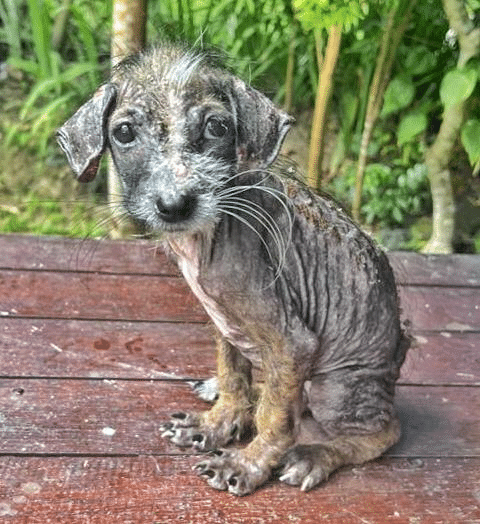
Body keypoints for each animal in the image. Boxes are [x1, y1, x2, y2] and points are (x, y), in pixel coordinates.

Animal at [57, 44, 408, 496]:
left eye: (217, 126)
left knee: (381, 431)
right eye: (124, 132)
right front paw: (218, 423)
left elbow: (275, 419)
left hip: (334, 388)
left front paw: (248, 462)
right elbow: (234, 378)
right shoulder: (224, 324)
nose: (174, 205)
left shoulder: (293, 343)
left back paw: (315, 456)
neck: (205, 237)